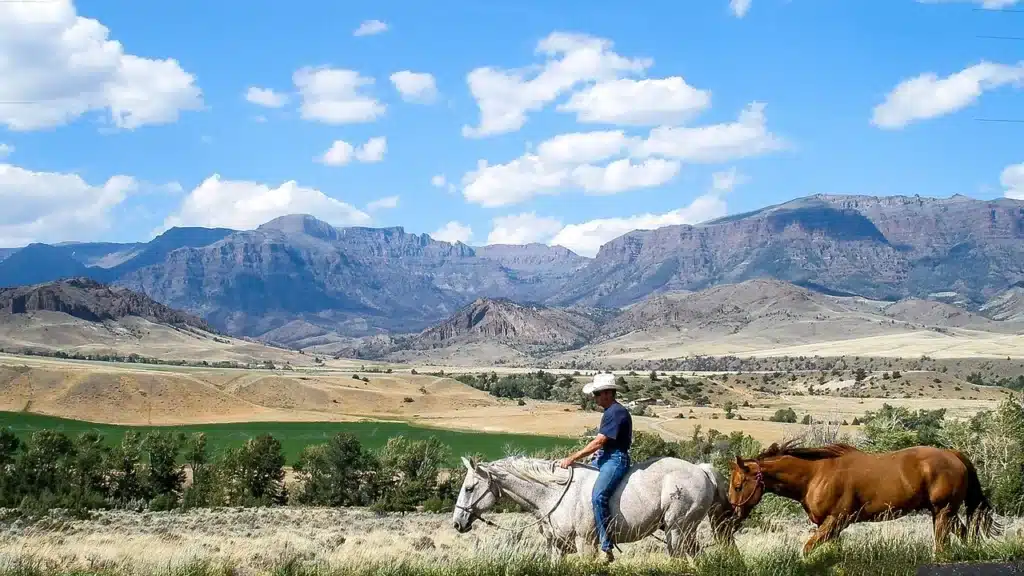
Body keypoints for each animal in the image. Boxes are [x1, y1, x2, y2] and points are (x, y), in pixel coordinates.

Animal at [452, 453, 733, 557]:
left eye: (469, 488)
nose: (457, 523)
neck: (554, 494)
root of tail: (701, 469)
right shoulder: (558, 546)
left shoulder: (585, 542)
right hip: (684, 532)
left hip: (678, 530)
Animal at [729, 438, 999, 553]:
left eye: (739, 485)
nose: (732, 514)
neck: (815, 474)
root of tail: (953, 455)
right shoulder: (830, 527)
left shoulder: (834, 522)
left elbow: (807, 549)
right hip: (943, 513)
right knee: (963, 535)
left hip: (943, 512)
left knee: (942, 546)